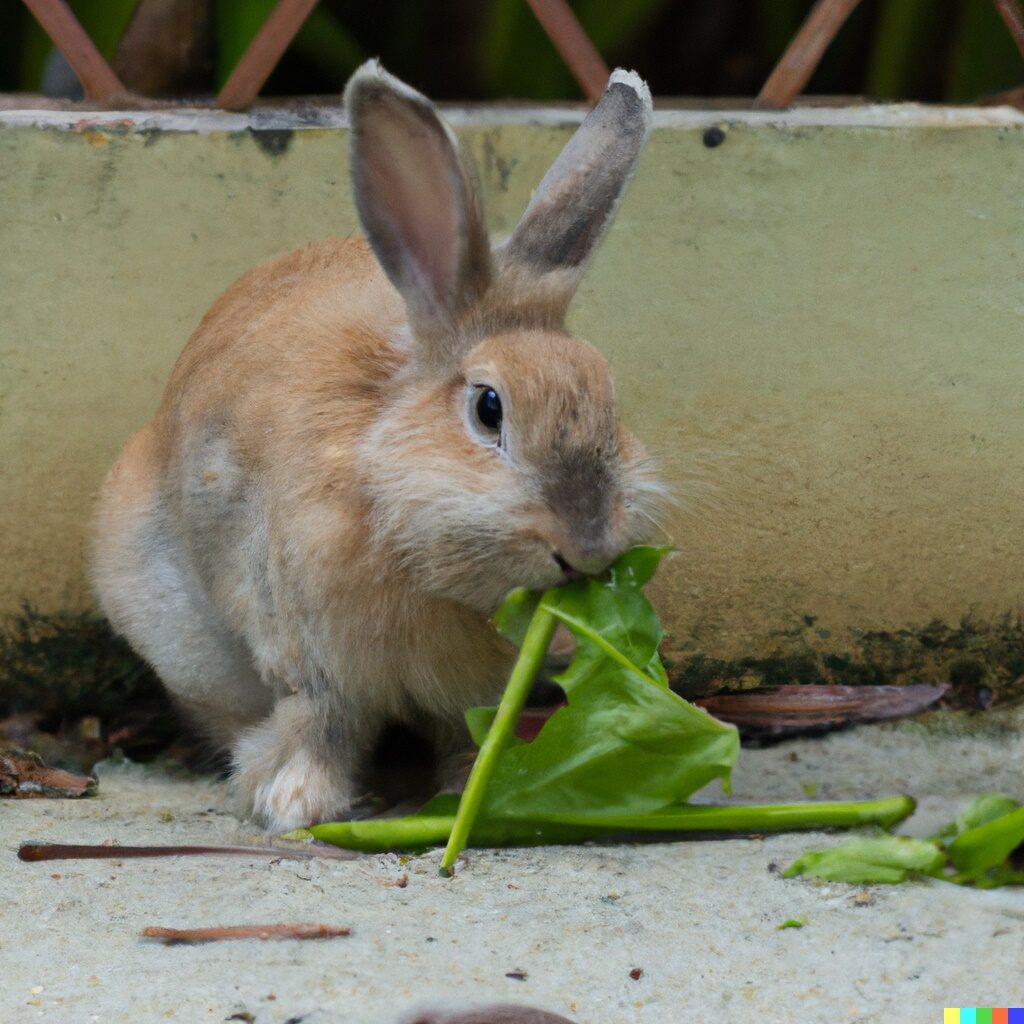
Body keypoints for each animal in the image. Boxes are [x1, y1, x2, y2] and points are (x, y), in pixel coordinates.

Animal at [92, 59, 667, 831]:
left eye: (607, 394)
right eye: (489, 409)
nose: (588, 548)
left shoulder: (464, 687)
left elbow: (461, 731)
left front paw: (472, 789)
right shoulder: (308, 651)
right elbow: (317, 721)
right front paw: (297, 804)